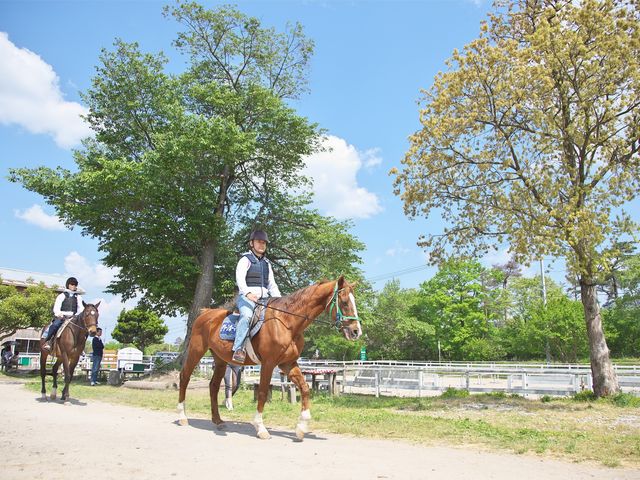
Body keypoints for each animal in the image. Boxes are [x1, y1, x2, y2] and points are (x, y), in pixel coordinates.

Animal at [178, 278, 362, 438]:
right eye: (344, 302)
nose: (356, 331)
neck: (287, 322)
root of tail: (206, 313)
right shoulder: (268, 363)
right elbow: (262, 392)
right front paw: (260, 427)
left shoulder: (288, 364)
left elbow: (305, 388)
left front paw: (301, 427)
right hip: (196, 351)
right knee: (185, 377)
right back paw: (182, 416)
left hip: (221, 360)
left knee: (214, 386)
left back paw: (217, 420)